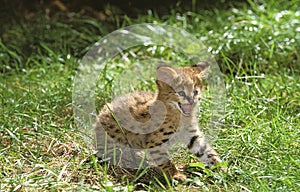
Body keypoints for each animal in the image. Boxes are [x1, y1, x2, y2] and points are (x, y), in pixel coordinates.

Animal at [94, 62, 223, 181]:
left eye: (195, 92)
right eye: (181, 93)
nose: (192, 101)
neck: (180, 116)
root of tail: (99, 117)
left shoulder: (192, 135)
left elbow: (208, 152)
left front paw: (222, 168)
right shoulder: (155, 142)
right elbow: (165, 161)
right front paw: (176, 175)